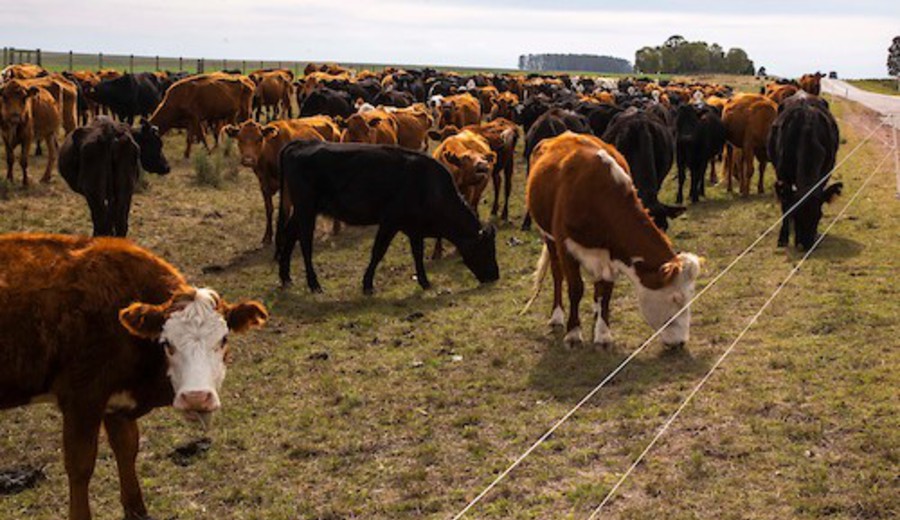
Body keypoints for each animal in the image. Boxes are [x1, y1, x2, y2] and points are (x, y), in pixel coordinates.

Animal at [0, 234, 268, 520]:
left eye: (223, 339)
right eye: (166, 343)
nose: (196, 397)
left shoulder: (116, 400)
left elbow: (127, 449)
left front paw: (136, 509)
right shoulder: (81, 399)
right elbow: (80, 465)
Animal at [276, 141, 500, 292]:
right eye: (486, 249)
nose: (495, 276)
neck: (429, 186)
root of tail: (300, 144)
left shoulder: (415, 228)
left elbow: (417, 253)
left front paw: (424, 282)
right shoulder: (390, 222)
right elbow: (378, 251)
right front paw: (367, 284)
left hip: (303, 210)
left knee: (289, 235)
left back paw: (286, 277)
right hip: (306, 208)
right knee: (304, 243)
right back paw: (314, 284)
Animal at [520, 132, 704, 348]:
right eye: (675, 298)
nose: (681, 342)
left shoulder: (612, 253)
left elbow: (605, 291)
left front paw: (603, 332)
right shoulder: (566, 247)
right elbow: (575, 288)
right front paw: (573, 332)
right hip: (548, 237)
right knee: (557, 274)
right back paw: (557, 315)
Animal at [768, 92, 844, 250]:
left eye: (819, 215)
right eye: (796, 215)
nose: (806, 244)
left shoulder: (825, 173)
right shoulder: (782, 175)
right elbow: (786, 205)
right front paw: (783, 238)